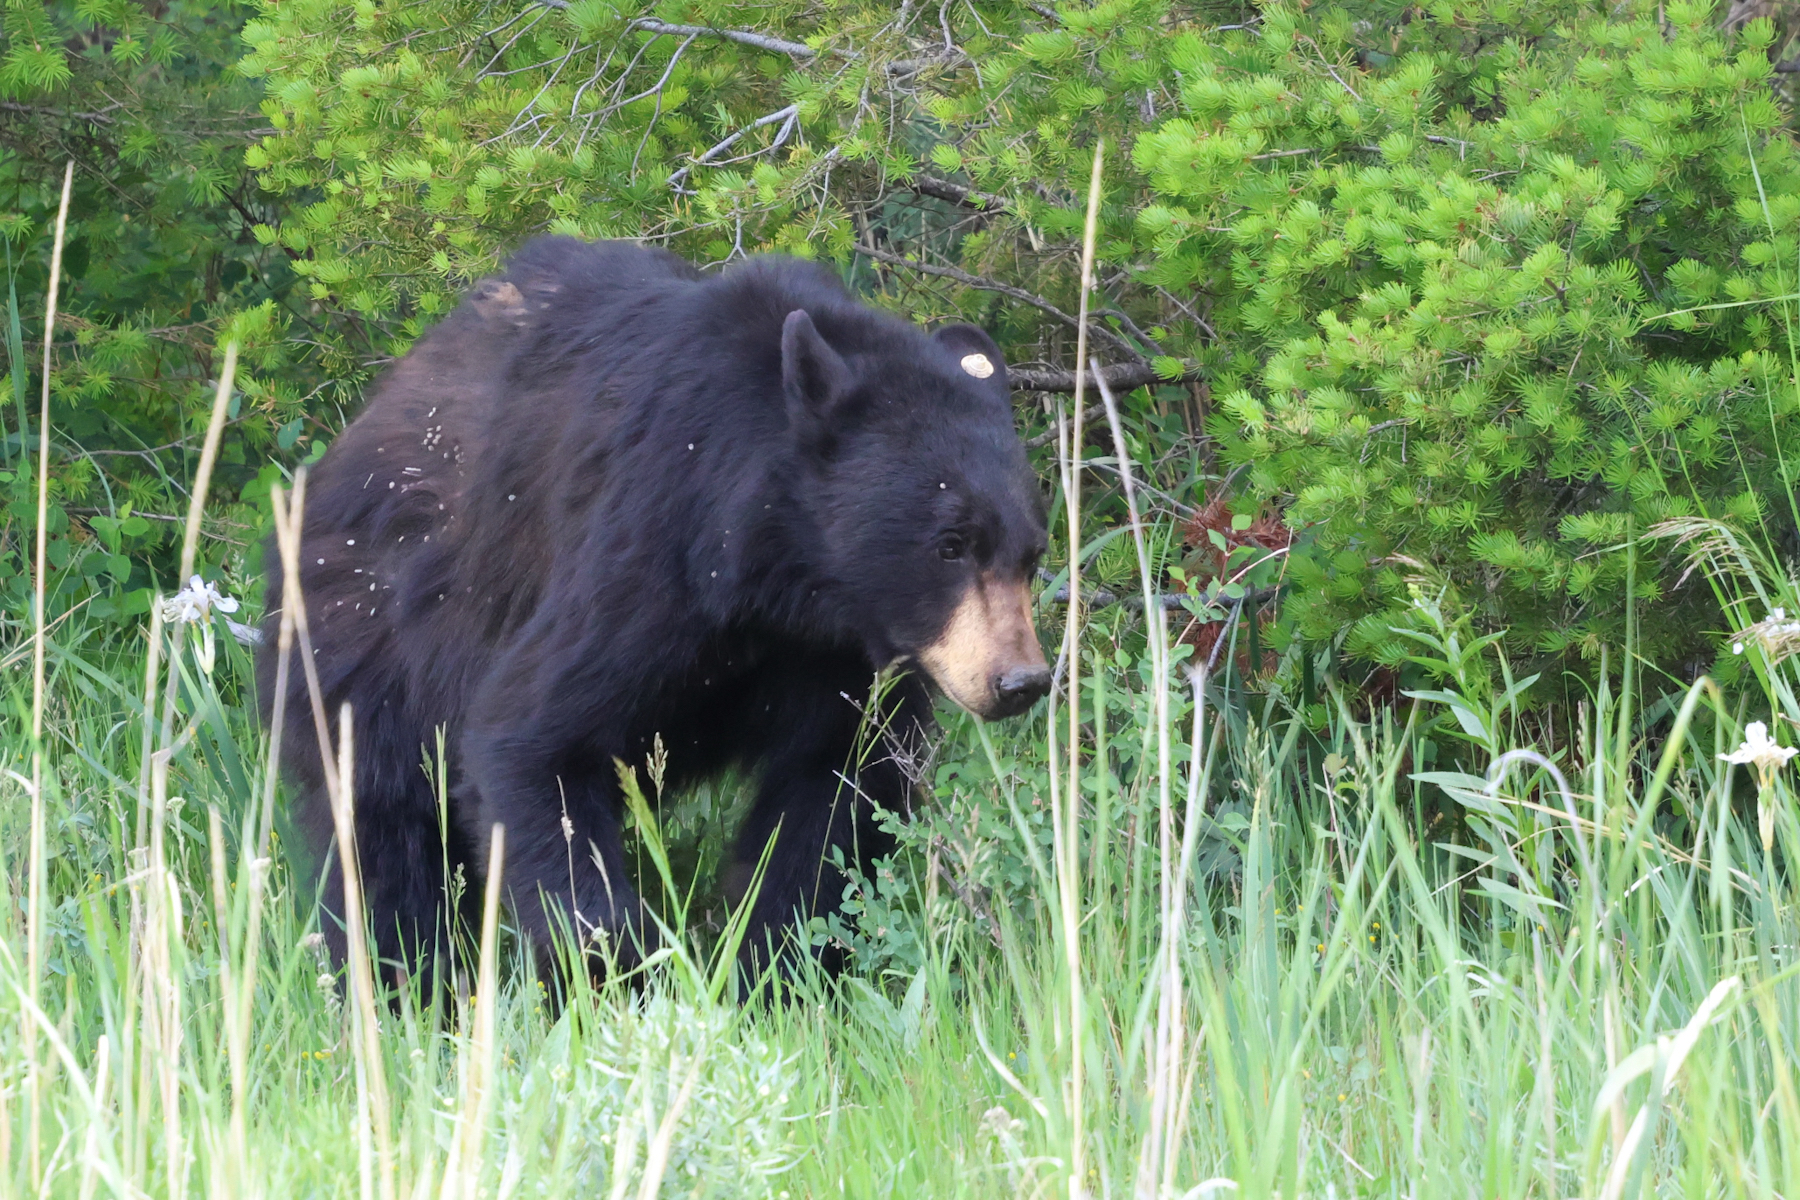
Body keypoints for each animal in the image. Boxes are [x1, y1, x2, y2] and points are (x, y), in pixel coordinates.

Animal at [259, 236, 1051, 986]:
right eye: (950, 544)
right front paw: (626, 972)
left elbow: (838, 795)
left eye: (1031, 554)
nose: (1020, 681)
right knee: (380, 831)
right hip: (366, 633)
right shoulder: (650, 558)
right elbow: (530, 739)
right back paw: (406, 989)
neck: (787, 579)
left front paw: (776, 972)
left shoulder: (844, 657)